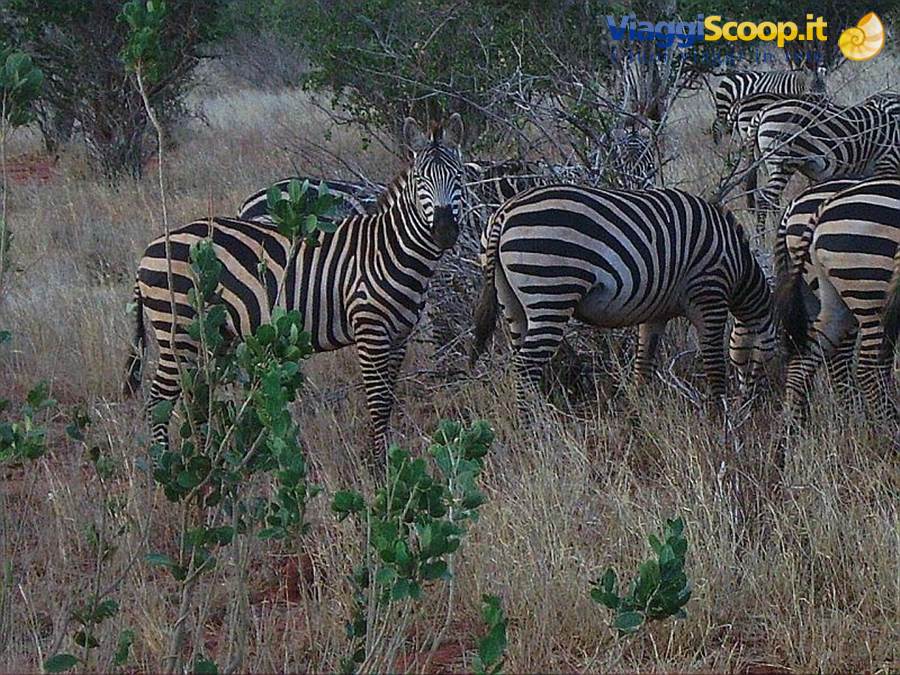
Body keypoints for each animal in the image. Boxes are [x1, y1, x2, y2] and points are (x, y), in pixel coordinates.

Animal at [125, 115, 466, 458]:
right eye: (420, 180)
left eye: (459, 177)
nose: (445, 231)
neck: (388, 249)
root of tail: (148, 250)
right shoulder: (370, 332)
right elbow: (378, 404)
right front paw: (379, 466)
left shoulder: (399, 337)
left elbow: (389, 402)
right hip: (178, 331)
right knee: (158, 400)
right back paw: (165, 463)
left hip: (210, 334)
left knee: (195, 396)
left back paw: (205, 453)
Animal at [470, 185, 777, 408]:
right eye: (772, 353)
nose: (755, 407)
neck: (737, 265)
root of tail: (504, 212)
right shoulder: (709, 296)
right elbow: (715, 366)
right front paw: (718, 422)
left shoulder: (656, 313)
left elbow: (643, 366)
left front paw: (639, 416)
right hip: (551, 292)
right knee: (525, 366)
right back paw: (535, 427)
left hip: (510, 301)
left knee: (519, 360)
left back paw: (538, 420)